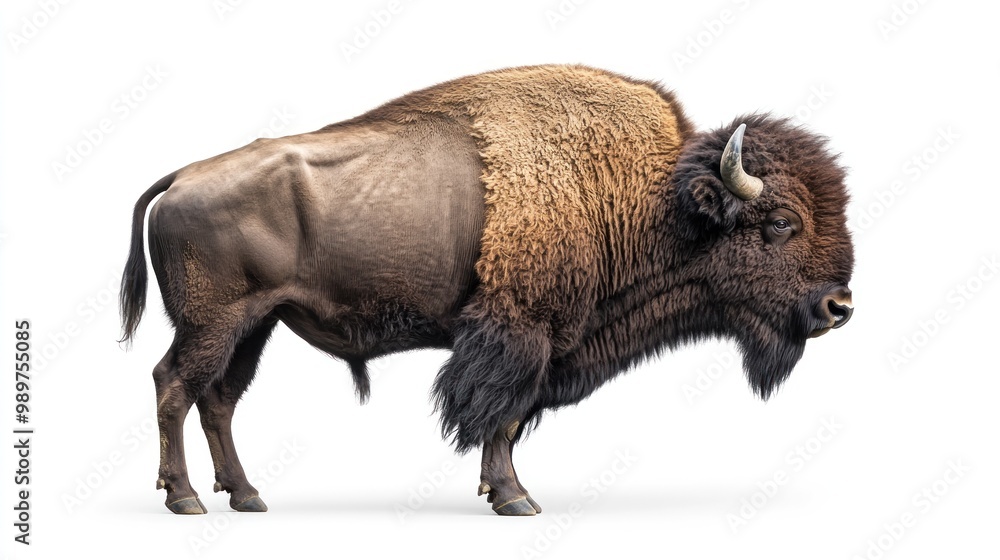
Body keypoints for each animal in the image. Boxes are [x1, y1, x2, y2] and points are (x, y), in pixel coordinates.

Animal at [120, 64, 854, 516]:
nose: (839, 307)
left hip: (256, 325)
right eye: (781, 222)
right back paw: (185, 498)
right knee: (174, 386)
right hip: (214, 323)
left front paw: (497, 490)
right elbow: (501, 416)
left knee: (218, 399)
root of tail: (181, 178)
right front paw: (514, 498)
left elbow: (509, 420)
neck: (645, 200)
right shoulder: (521, 333)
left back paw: (245, 495)